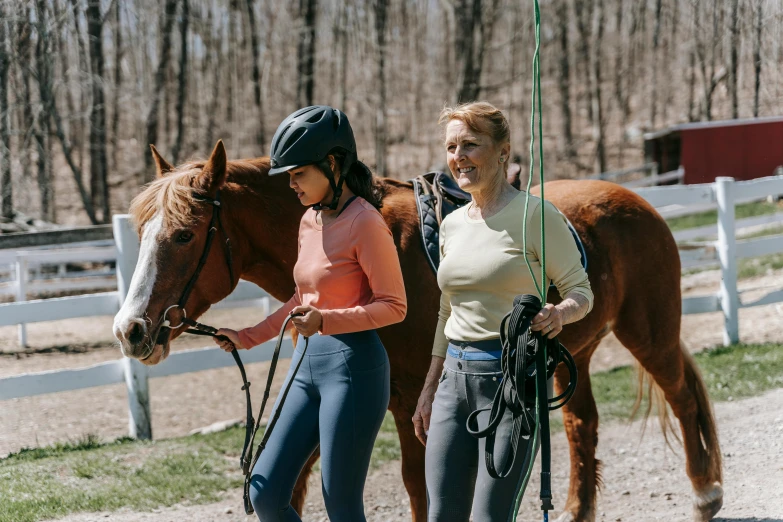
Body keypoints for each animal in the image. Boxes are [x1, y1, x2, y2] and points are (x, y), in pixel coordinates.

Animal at [113, 138, 724, 520]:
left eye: (185, 234)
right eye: (141, 232)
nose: (131, 330)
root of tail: (636, 201)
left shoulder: (411, 404)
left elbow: (417, 489)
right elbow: (297, 481)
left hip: (649, 335)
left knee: (681, 397)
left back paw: (705, 494)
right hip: (573, 353)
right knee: (582, 425)